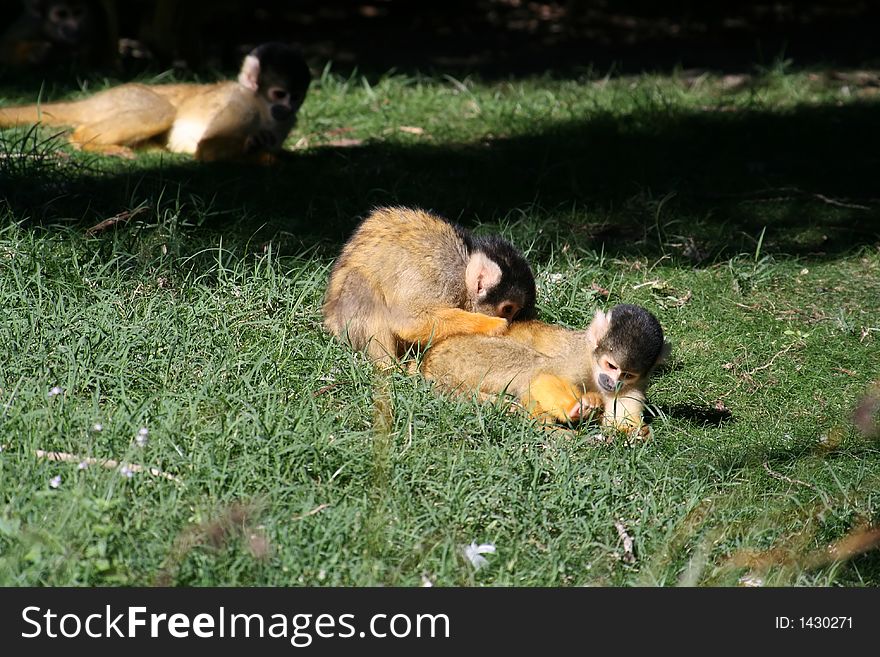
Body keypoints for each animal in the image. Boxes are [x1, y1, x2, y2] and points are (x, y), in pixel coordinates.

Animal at [0, 41, 312, 161]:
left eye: (296, 97)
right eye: (278, 94)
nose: (285, 108)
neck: (262, 110)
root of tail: (100, 96)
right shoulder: (242, 105)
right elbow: (209, 149)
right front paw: (258, 151)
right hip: (127, 97)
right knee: (161, 111)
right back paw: (85, 140)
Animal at [420, 302, 668, 436]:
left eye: (626, 374)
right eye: (610, 365)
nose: (610, 382)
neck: (592, 367)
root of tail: (429, 363)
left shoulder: (634, 386)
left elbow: (615, 421)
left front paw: (636, 433)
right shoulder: (577, 358)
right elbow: (541, 375)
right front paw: (575, 409)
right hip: (460, 355)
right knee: (530, 367)